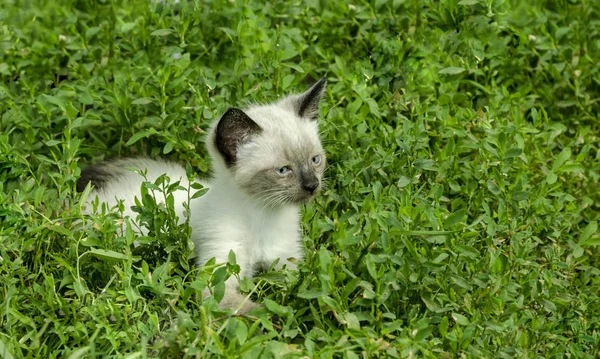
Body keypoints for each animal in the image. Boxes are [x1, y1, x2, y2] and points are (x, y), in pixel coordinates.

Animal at [78, 77, 328, 314]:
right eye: (283, 170)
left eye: (315, 160)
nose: (312, 185)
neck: (264, 213)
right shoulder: (217, 278)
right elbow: (260, 311)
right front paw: (286, 321)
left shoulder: (288, 265)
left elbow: (304, 291)